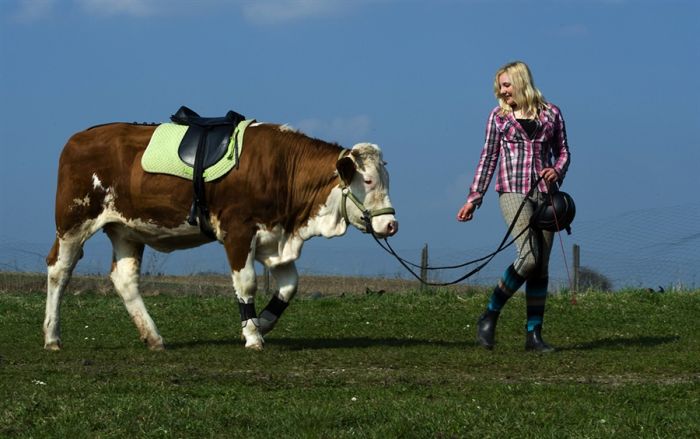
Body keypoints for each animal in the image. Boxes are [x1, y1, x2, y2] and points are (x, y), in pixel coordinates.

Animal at [43, 119, 396, 350]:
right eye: (367, 181)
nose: (391, 224)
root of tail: (80, 137)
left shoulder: (274, 236)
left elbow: (289, 286)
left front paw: (261, 323)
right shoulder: (238, 230)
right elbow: (247, 283)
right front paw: (252, 335)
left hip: (126, 229)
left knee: (124, 279)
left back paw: (153, 337)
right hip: (73, 222)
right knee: (59, 271)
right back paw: (52, 336)